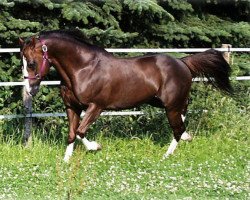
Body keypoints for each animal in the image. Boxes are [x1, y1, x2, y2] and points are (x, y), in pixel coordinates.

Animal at [18, 30, 231, 162]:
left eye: (31, 63)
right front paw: (65, 161)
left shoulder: (96, 106)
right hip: (163, 103)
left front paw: (96, 147)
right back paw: (187, 137)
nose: (30, 89)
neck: (83, 68)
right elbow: (71, 134)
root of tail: (183, 63)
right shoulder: (72, 107)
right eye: (24, 62)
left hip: (171, 105)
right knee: (183, 118)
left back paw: (166, 156)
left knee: (178, 129)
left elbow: (80, 131)